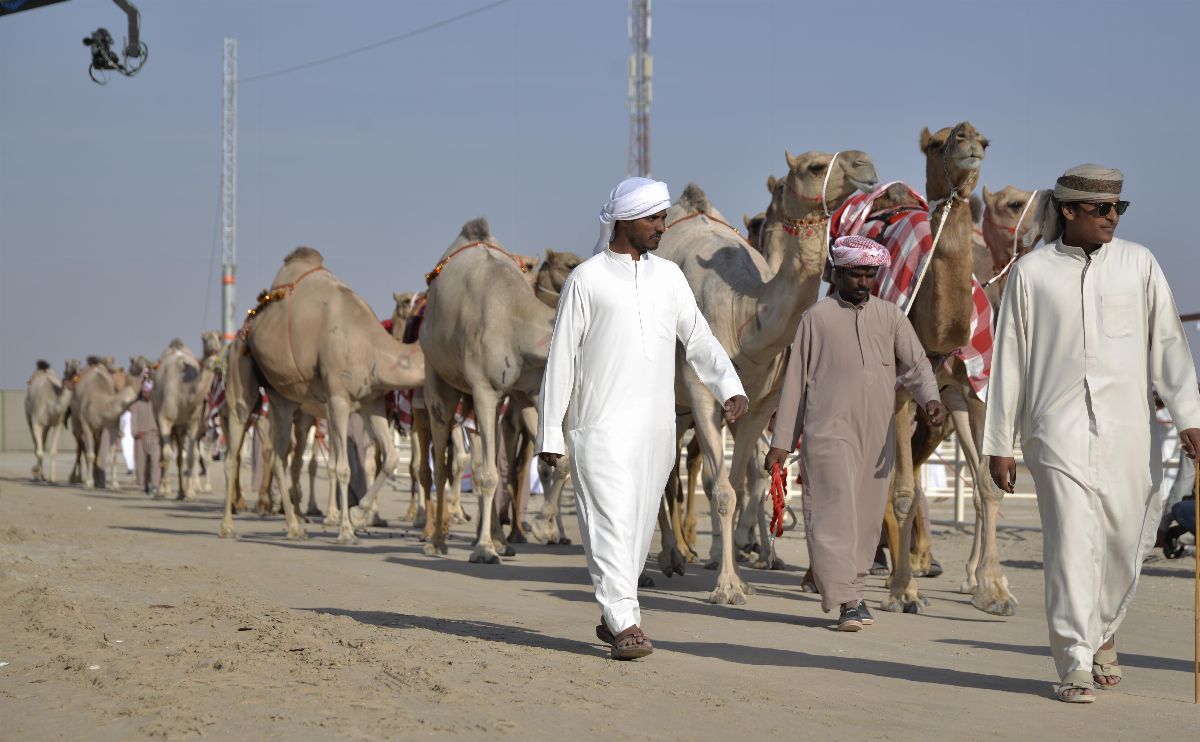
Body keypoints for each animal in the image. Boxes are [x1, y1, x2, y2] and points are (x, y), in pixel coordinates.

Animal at [152, 331, 223, 499]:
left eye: (219, 337)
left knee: (182, 457)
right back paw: (165, 489)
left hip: (182, 429)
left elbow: (194, 457)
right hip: (162, 422)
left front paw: (191, 491)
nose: (214, 347)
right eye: (204, 339)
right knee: (164, 454)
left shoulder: (195, 424)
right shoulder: (165, 419)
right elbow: (166, 454)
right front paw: (163, 491)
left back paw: (182, 490)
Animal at [220, 246, 427, 540]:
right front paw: (346, 530)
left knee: (278, 457)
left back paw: (295, 527)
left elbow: (391, 458)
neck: (372, 347)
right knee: (233, 450)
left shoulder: (372, 401)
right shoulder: (337, 398)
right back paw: (227, 526)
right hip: (241, 369)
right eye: (407, 300)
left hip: (281, 398)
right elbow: (342, 468)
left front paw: (358, 514)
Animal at [652, 145, 878, 600]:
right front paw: (726, 586)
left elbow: (739, 483)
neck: (744, 314)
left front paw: (740, 574)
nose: (866, 163)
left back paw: (673, 558)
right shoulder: (702, 394)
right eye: (814, 166)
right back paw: (662, 560)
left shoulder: (758, 405)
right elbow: (721, 489)